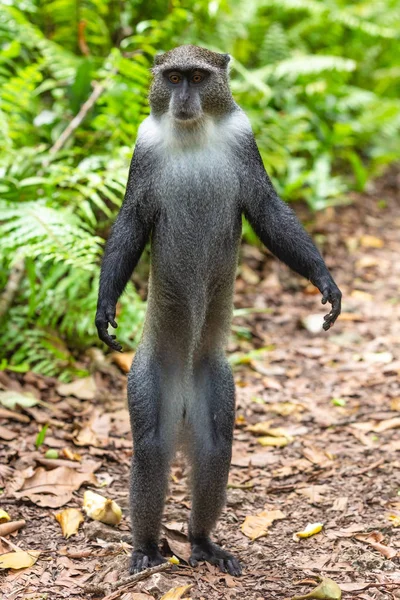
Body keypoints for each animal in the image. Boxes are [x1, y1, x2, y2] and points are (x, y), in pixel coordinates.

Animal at [95, 43, 342, 576]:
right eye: (173, 77)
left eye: (197, 77)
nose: (183, 98)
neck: (194, 132)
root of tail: (186, 394)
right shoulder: (143, 149)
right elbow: (131, 221)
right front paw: (104, 310)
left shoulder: (243, 138)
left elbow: (268, 210)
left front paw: (325, 283)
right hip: (150, 382)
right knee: (152, 449)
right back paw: (147, 547)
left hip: (215, 387)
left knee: (214, 447)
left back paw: (202, 542)